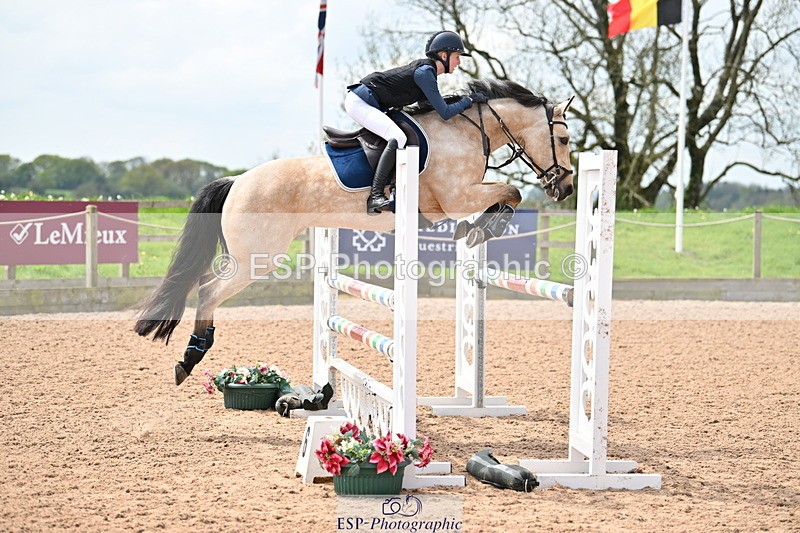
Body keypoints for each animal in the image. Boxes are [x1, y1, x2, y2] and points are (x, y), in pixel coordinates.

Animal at [133, 78, 575, 385]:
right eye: (565, 137)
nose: (566, 187)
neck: (465, 131)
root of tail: (237, 181)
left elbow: (503, 195)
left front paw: (474, 230)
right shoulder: (455, 196)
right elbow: (511, 191)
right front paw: (483, 228)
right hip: (256, 258)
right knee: (208, 291)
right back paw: (190, 358)